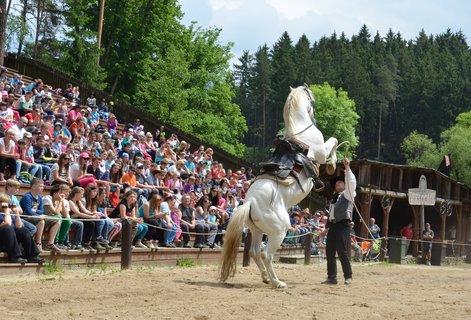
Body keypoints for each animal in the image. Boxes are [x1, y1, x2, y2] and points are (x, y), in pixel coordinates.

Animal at [220, 84, 340, 288]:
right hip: (279, 232)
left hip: (257, 230)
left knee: (254, 252)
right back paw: (277, 282)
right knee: (266, 255)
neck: (301, 132)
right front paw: (332, 164)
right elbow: (334, 141)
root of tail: (250, 203)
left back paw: (266, 278)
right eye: (312, 99)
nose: (314, 115)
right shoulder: (322, 151)